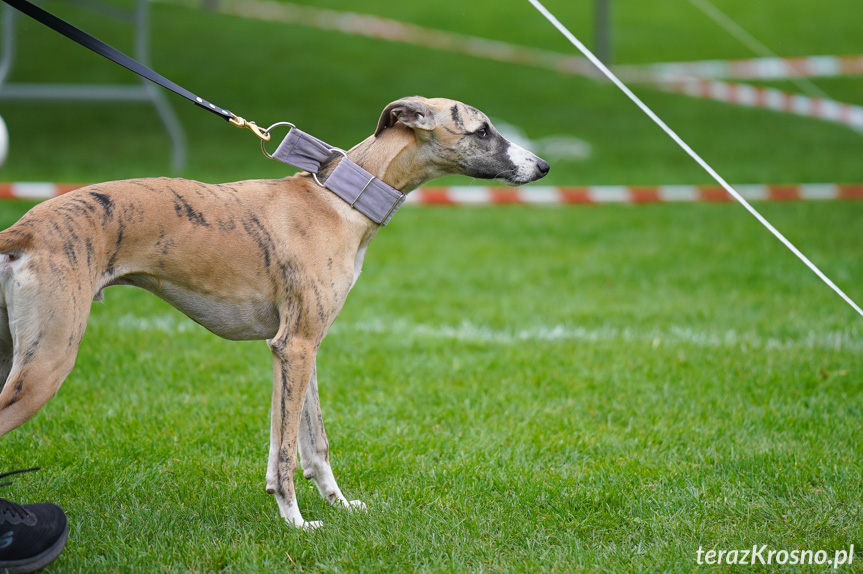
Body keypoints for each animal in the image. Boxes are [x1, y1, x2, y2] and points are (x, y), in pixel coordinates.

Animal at [0, 97, 548, 528]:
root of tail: (24, 228)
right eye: (482, 130)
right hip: (48, 360)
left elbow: (313, 444)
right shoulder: (295, 346)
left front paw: (341, 505)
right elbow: (285, 452)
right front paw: (297, 521)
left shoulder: (302, 348)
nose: (543, 167)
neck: (340, 202)